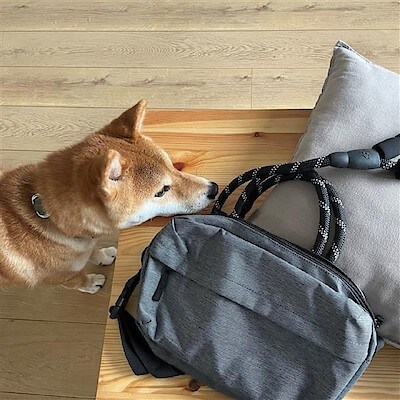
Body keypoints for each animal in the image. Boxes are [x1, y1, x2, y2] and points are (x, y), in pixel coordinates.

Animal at [0, 100, 218, 293]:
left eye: (173, 167)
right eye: (161, 191)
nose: (213, 189)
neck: (49, 217)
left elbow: (93, 251)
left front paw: (103, 255)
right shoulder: (61, 278)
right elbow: (78, 279)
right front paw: (91, 283)